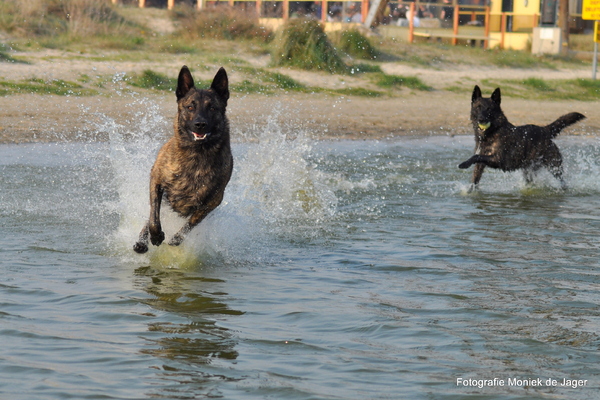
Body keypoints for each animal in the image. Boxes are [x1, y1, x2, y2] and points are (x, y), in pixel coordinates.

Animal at [134, 65, 234, 253]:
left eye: (212, 108)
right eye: (190, 107)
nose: (200, 124)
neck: (196, 154)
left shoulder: (213, 201)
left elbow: (191, 223)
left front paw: (176, 239)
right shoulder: (156, 181)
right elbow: (153, 217)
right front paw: (156, 236)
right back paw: (142, 242)